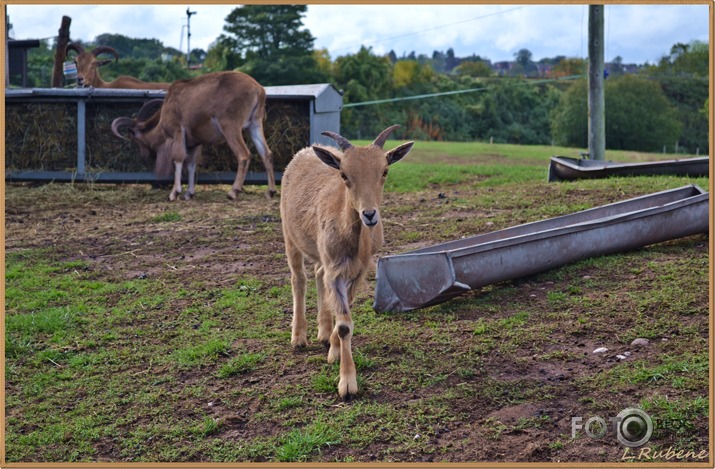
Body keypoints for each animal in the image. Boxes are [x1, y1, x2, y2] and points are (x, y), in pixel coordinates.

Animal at [110, 71, 276, 199]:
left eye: (135, 139)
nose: (144, 155)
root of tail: (257, 89)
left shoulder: (177, 132)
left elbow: (178, 159)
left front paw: (174, 193)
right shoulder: (194, 143)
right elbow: (191, 164)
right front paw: (189, 193)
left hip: (230, 126)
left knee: (243, 155)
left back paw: (233, 192)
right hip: (254, 124)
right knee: (266, 153)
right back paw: (270, 191)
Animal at [280, 125, 414, 398]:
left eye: (385, 171)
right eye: (344, 174)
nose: (369, 214)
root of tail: (305, 150)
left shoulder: (357, 270)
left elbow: (345, 314)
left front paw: (333, 350)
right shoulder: (336, 268)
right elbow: (344, 324)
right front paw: (347, 385)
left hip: (322, 253)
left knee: (318, 274)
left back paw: (322, 334)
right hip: (289, 234)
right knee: (299, 278)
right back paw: (298, 338)